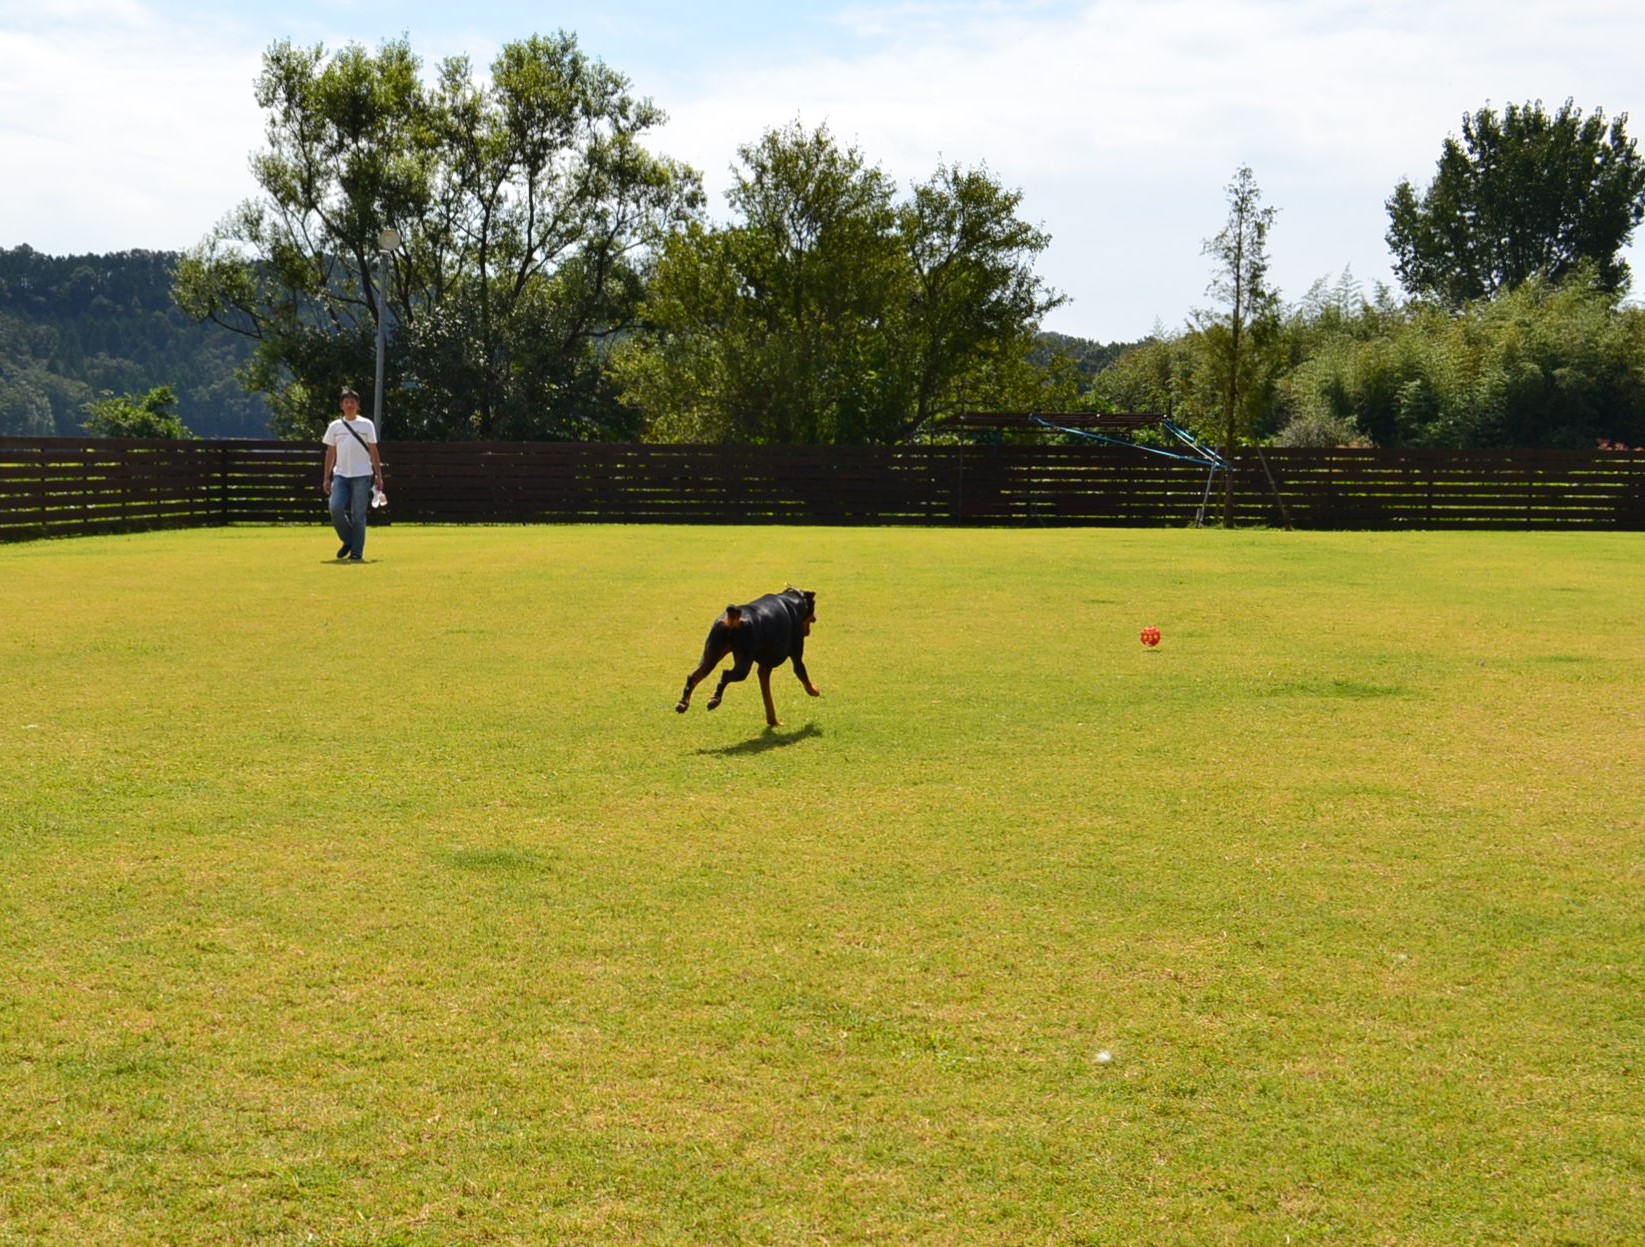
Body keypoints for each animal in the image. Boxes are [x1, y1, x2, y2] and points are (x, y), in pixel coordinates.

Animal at [671, 592, 819, 727]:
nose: (816, 618)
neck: (792, 600)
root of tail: (734, 615)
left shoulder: (764, 669)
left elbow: (767, 698)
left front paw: (772, 720)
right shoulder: (796, 657)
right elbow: (802, 674)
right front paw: (814, 691)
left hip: (711, 655)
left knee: (693, 676)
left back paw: (683, 703)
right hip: (743, 663)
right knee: (725, 674)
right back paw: (714, 700)